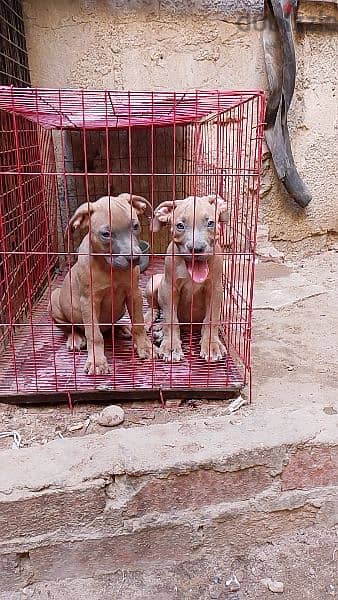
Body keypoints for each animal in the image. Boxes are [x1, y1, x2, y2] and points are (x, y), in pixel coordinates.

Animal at [51, 195, 153, 372]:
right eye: (106, 234)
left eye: (135, 226)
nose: (135, 258)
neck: (110, 268)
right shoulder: (89, 302)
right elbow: (95, 335)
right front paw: (97, 361)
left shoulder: (134, 294)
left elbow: (139, 323)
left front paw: (145, 346)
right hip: (55, 299)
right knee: (71, 328)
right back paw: (75, 338)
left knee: (109, 326)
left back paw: (122, 328)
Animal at [145, 193, 227, 360]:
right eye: (180, 226)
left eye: (210, 223)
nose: (197, 248)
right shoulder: (169, 288)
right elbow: (171, 319)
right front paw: (171, 346)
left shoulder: (215, 289)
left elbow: (211, 319)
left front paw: (211, 345)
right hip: (153, 282)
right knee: (155, 308)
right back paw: (154, 324)